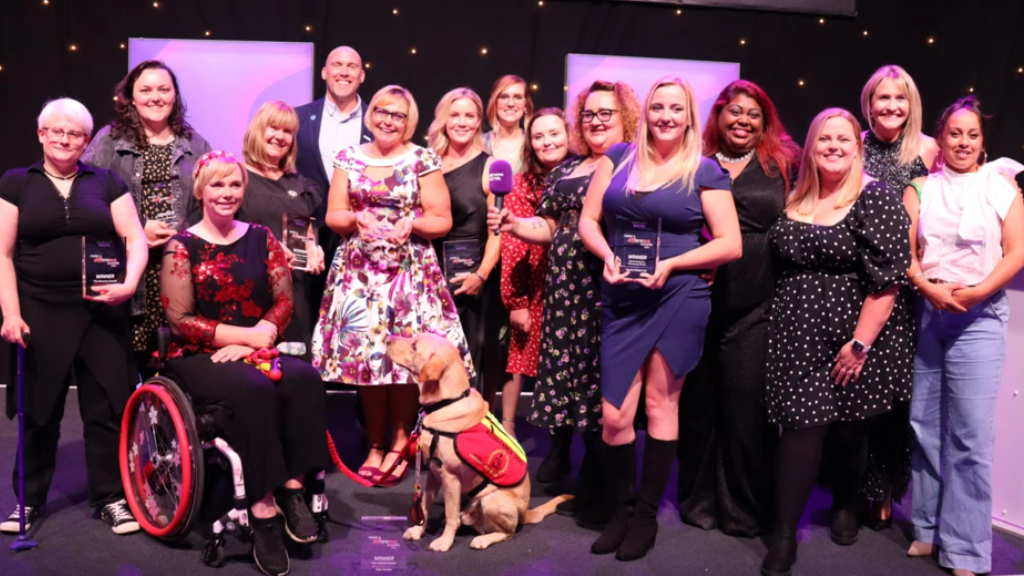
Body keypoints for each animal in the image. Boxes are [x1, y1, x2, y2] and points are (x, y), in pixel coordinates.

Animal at [387, 330, 573, 549]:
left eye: (414, 346)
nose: (387, 339)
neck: (447, 402)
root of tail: (525, 513)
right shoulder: (433, 472)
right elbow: (425, 504)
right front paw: (418, 530)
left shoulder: (450, 477)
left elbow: (451, 516)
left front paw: (445, 541)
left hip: (491, 500)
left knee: (508, 532)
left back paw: (483, 539)